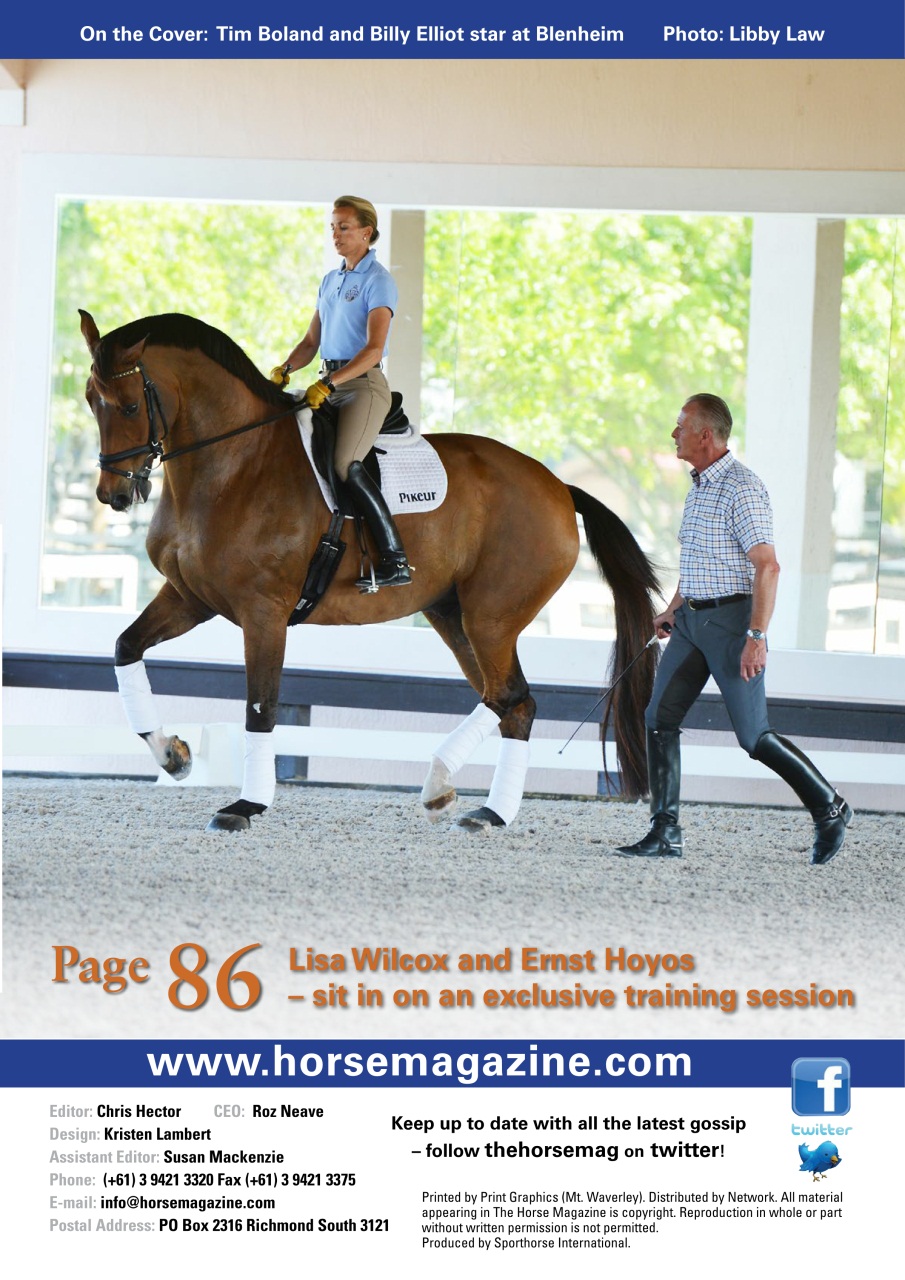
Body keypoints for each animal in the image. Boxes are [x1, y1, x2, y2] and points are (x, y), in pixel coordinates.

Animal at [79, 310, 660, 834]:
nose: (114, 495)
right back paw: (462, 798)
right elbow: (125, 649)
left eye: (130, 405)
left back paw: (473, 802)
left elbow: (260, 708)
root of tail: (559, 487)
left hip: (491, 617)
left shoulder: (263, 613)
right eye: (90, 400)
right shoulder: (190, 597)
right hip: (454, 615)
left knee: (513, 699)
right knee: (507, 702)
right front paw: (172, 755)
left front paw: (245, 806)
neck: (235, 463)